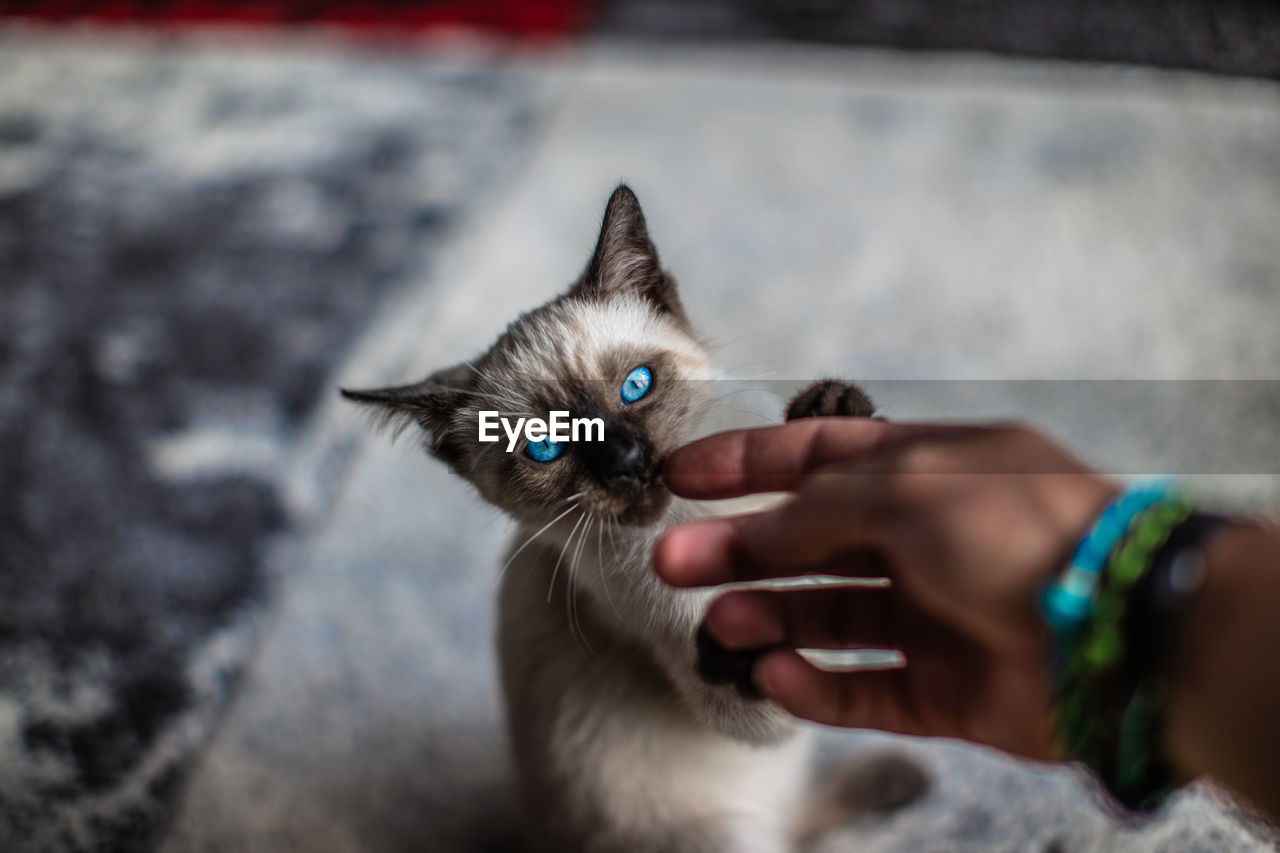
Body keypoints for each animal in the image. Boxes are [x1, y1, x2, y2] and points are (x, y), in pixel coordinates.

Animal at [340, 185, 921, 850]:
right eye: (546, 447)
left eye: (636, 387)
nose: (628, 462)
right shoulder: (762, 701)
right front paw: (742, 636)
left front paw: (832, 420)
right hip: (724, 833)